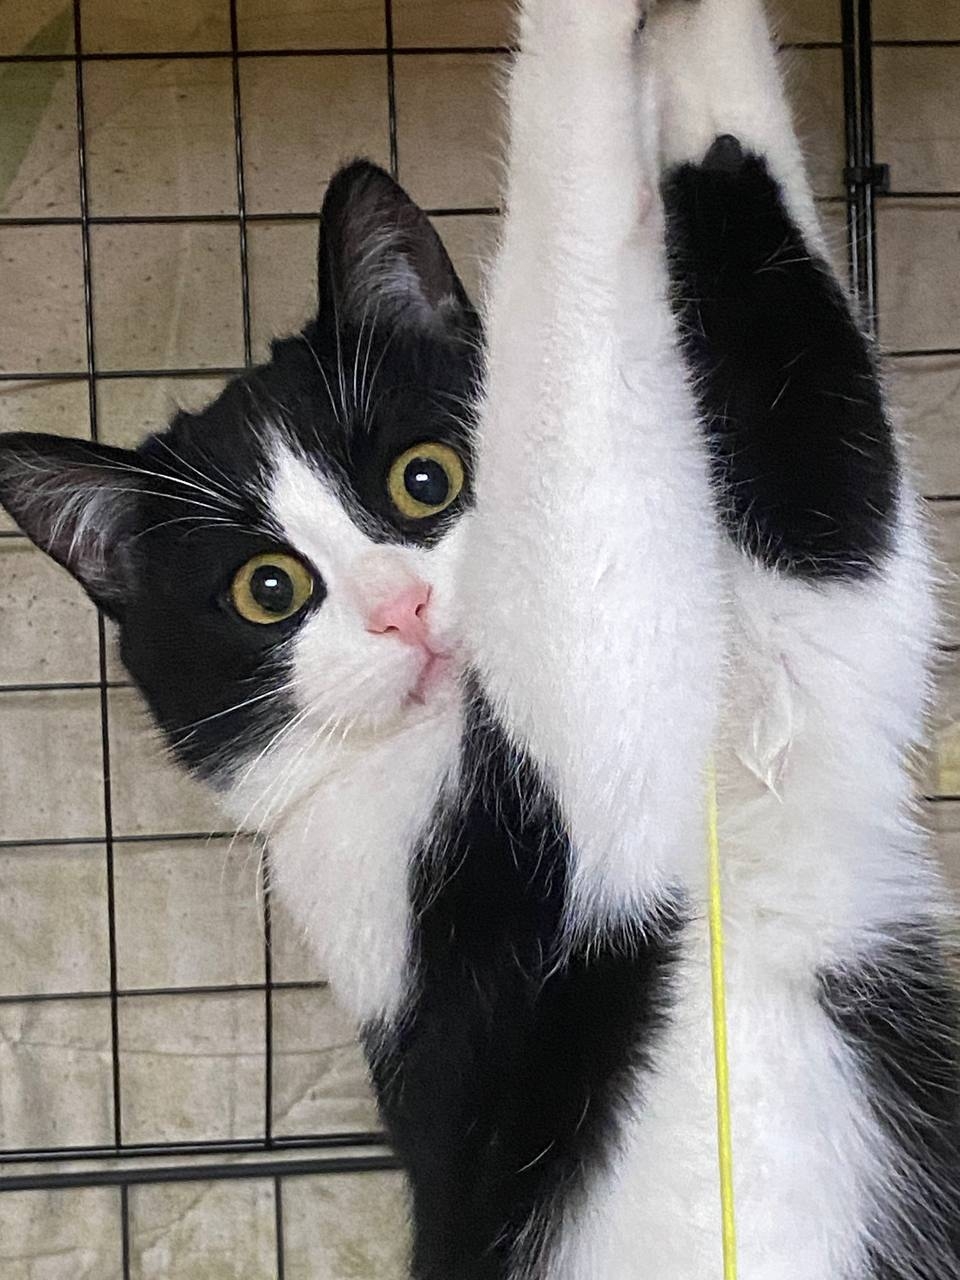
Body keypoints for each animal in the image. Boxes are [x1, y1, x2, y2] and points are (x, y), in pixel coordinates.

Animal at [1, 1, 958, 1277]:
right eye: (266, 589)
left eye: (424, 477)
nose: (401, 608)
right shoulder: (442, 861)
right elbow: (561, 397)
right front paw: (587, 34)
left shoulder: (811, 687)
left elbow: (832, 510)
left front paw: (696, 40)